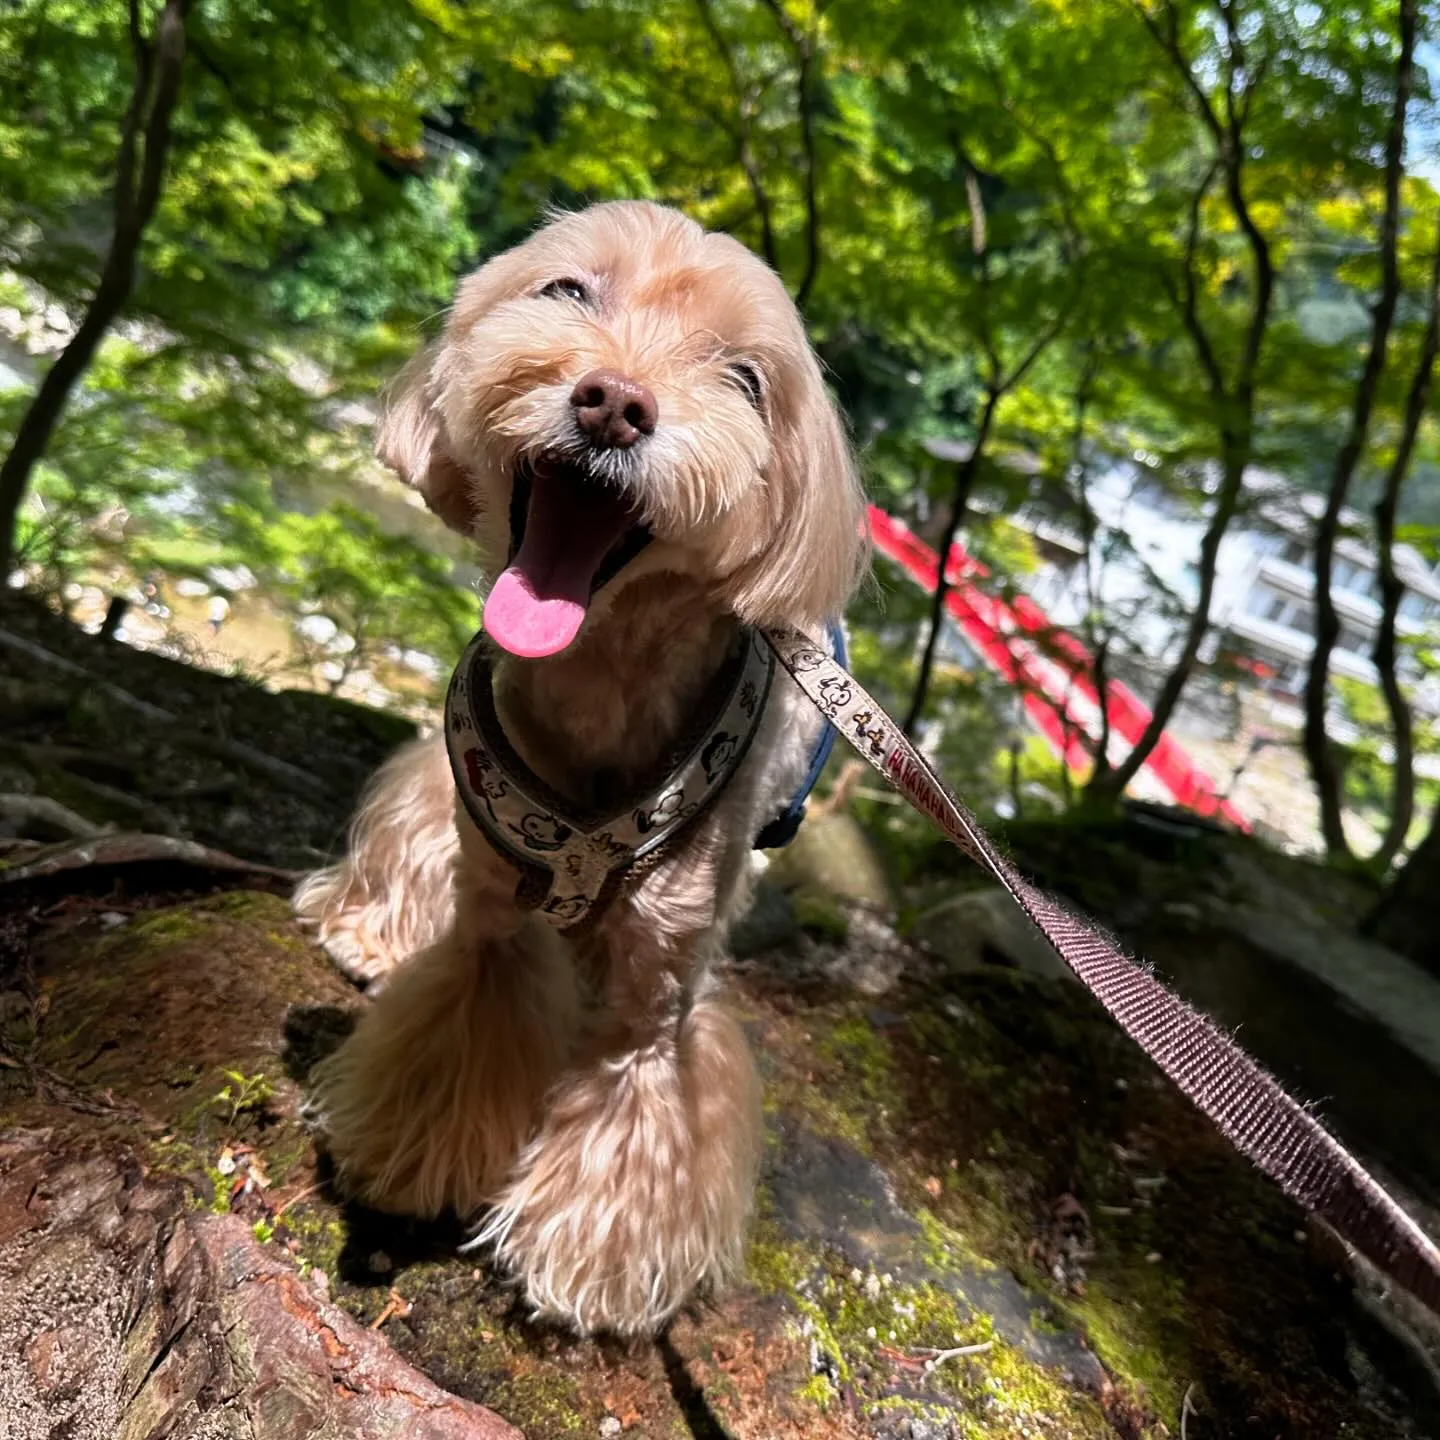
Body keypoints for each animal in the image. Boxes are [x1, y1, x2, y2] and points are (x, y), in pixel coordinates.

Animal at [295, 203, 864, 1336]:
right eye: (567, 291)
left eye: (744, 377)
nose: (615, 402)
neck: (599, 679)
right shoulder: (490, 911)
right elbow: (462, 1023)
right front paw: (407, 1154)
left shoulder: (660, 992)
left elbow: (633, 1109)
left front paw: (588, 1260)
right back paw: (369, 927)